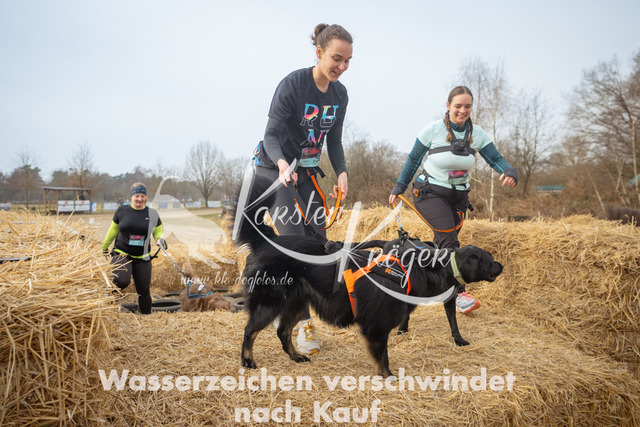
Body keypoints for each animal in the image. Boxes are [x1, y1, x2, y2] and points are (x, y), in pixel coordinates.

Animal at [232, 176, 503, 377]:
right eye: (490, 259)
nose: (501, 265)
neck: (414, 268)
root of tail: (266, 241)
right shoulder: (376, 325)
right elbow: (382, 356)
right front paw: (389, 377)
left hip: (295, 302)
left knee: (283, 332)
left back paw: (297, 356)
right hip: (271, 302)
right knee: (249, 330)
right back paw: (247, 361)